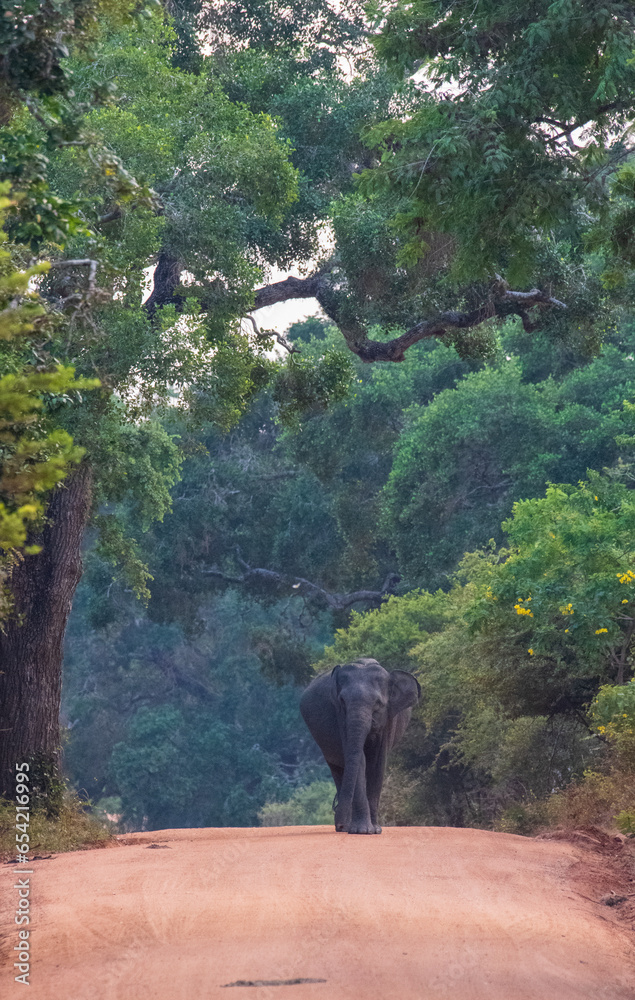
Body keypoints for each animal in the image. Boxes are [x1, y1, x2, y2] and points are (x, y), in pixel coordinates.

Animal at [299, 657, 421, 834]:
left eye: (378, 703)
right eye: (342, 701)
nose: (339, 825)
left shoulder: (388, 719)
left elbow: (376, 763)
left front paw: (375, 830)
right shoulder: (340, 717)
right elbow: (359, 760)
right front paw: (362, 831)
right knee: (338, 770)